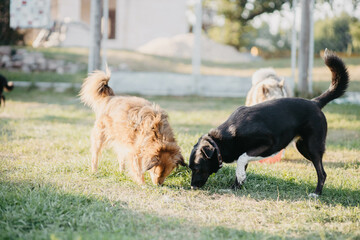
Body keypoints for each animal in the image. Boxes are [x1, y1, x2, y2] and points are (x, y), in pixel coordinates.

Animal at [188, 49, 348, 197]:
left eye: (196, 168)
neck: (223, 138)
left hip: (313, 147)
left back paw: (316, 193)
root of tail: (315, 102)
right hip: (303, 147)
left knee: (322, 173)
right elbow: (241, 164)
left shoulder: (268, 144)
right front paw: (235, 186)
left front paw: (239, 178)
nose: (192, 187)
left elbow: (242, 158)